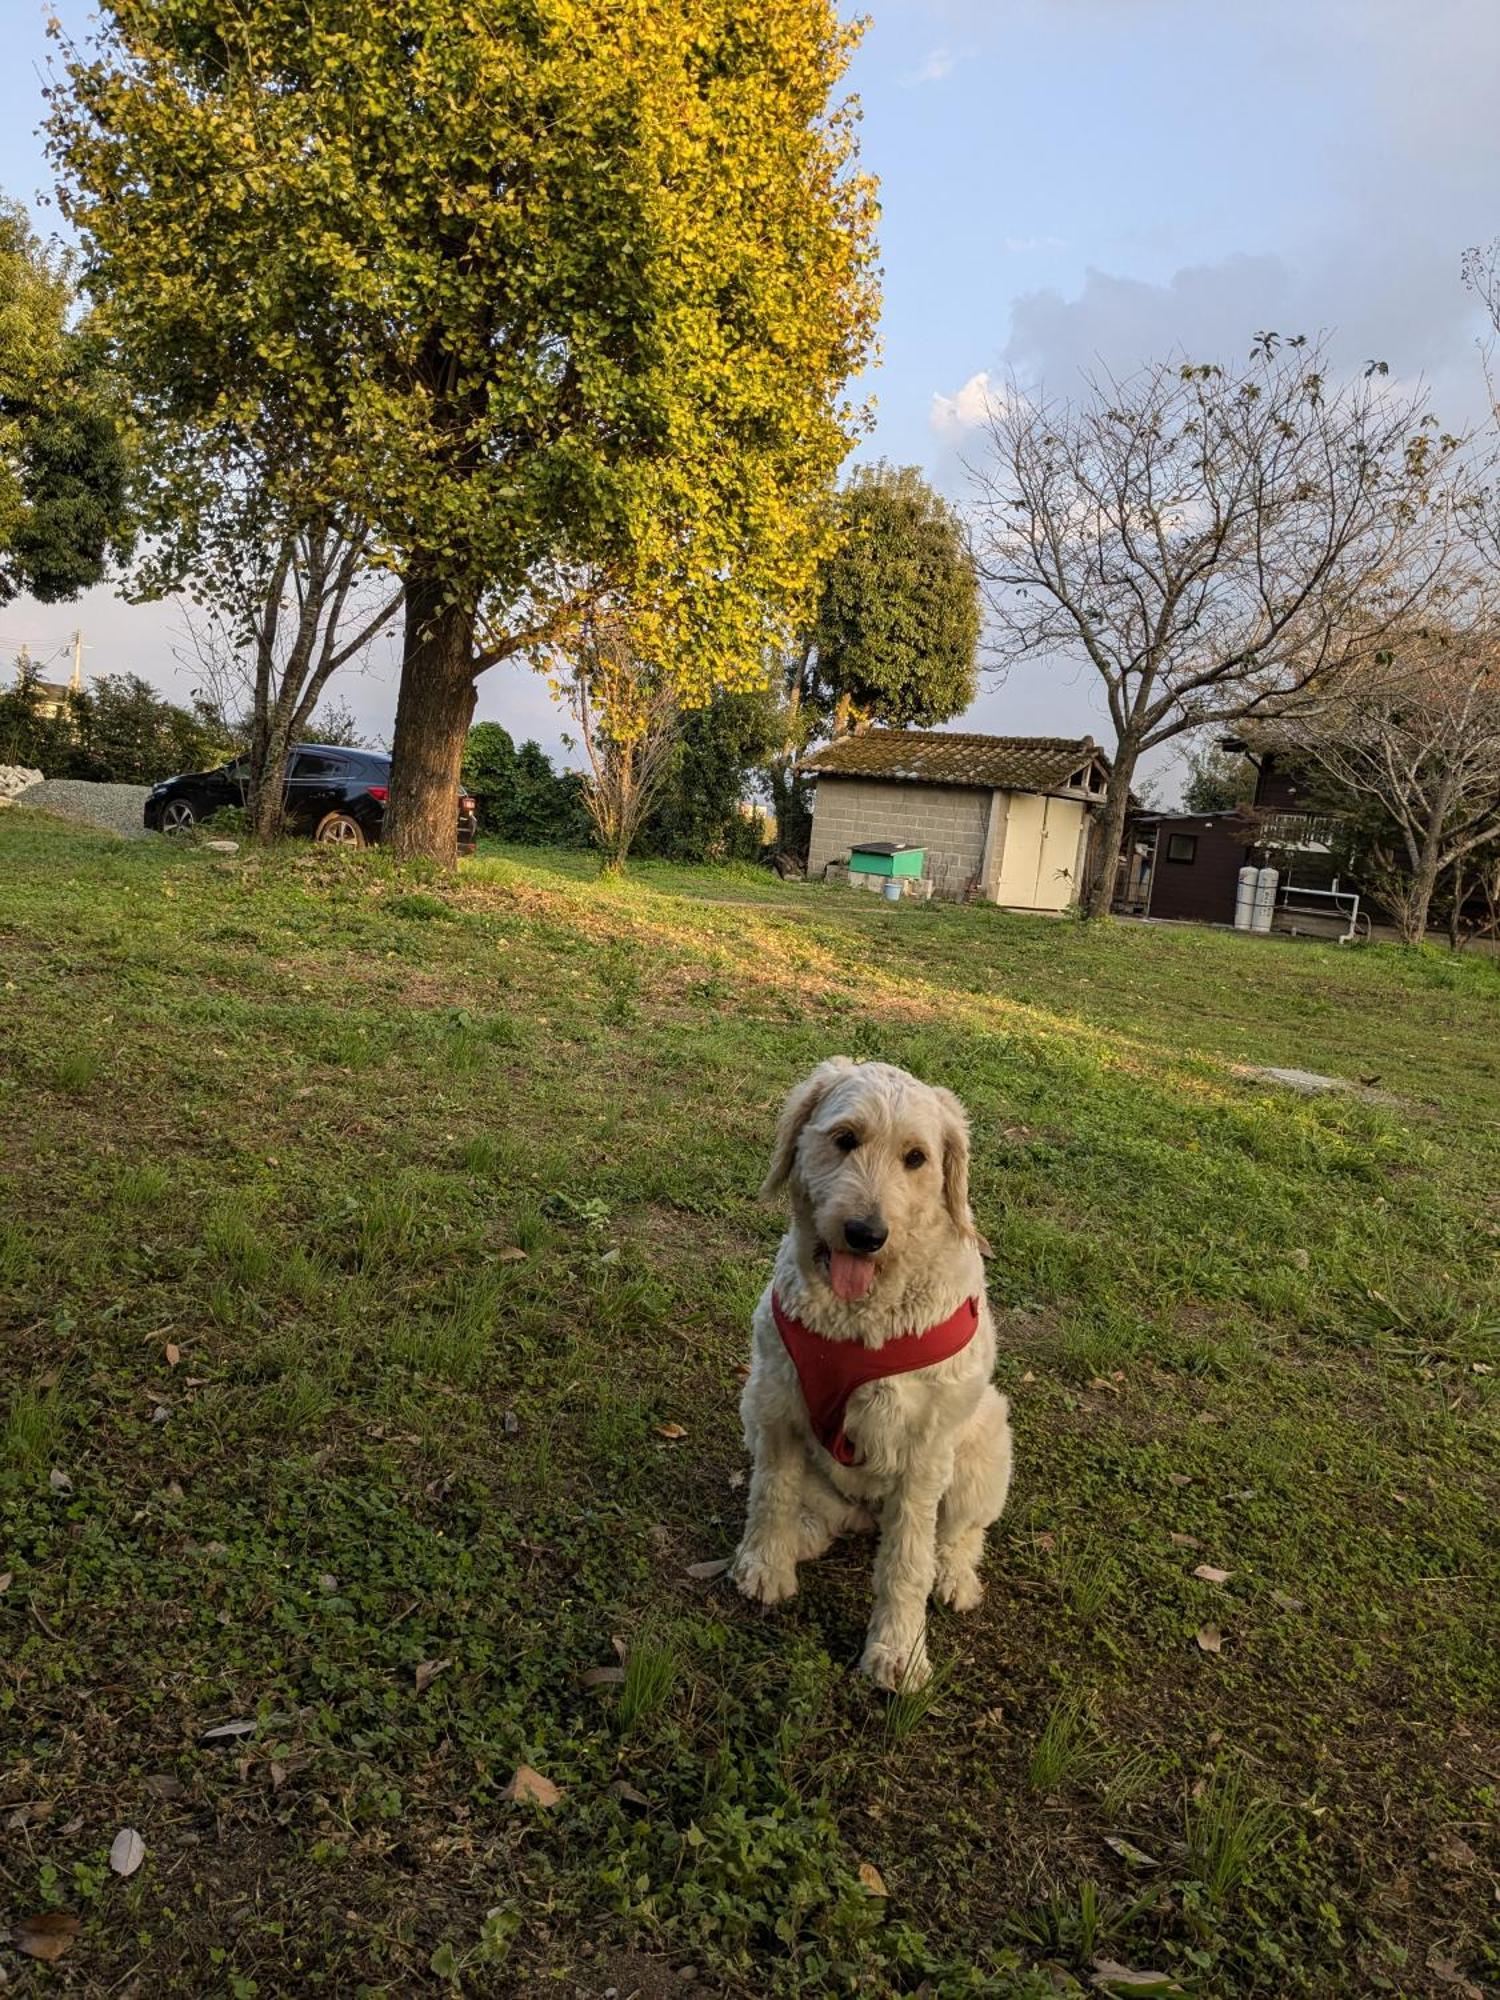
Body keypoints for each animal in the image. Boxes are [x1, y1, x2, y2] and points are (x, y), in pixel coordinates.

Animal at [736, 1064, 1016, 1688]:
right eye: (845, 1139)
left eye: (916, 1158)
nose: (866, 1234)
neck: (858, 1319)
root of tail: (866, 1513)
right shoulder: (776, 1404)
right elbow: (771, 1493)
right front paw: (764, 1562)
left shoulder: (923, 1453)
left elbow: (906, 1562)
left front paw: (898, 1650)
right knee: (817, 1512)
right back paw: (801, 1535)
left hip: (986, 1441)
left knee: (959, 1533)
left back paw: (954, 1576)